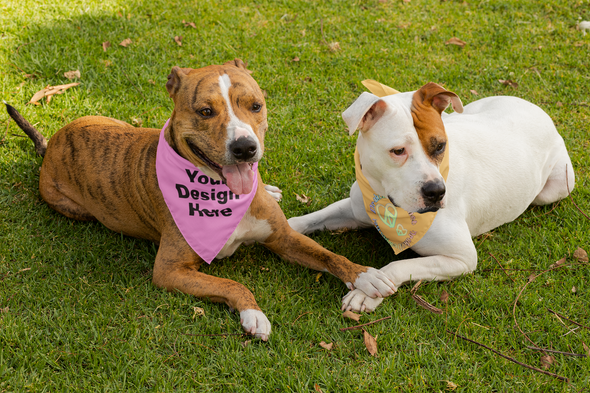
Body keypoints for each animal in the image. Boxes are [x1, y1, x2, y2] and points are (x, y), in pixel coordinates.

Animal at [5, 59, 398, 340]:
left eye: (255, 106)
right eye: (205, 111)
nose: (245, 148)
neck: (221, 195)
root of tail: (52, 144)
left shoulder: (283, 238)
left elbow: (329, 255)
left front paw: (366, 276)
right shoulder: (170, 270)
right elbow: (231, 284)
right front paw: (253, 314)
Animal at [290, 81, 576, 310]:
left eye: (440, 146)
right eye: (398, 151)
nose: (436, 191)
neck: (386, 203)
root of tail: (535, 107)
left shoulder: (461, 258)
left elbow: (399, 266)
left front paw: (367, 291)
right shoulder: (355, 208)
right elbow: (308, 219)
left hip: (555, 188)